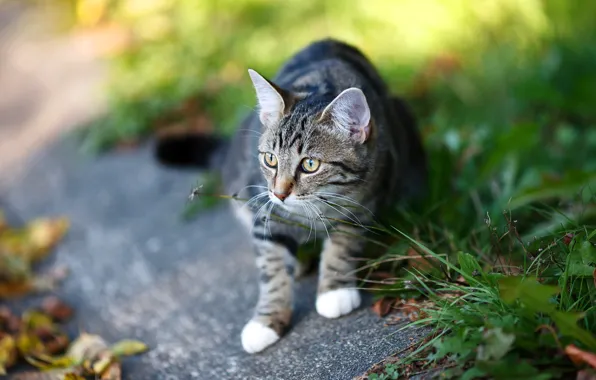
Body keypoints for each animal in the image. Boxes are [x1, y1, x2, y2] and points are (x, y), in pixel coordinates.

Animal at [156, 38, 426, 354]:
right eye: (270, 159)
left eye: (310, 164)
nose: (280, 192)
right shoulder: (265, 211)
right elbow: (271, 267)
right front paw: (267, 319)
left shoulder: (362, 202)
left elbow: (343, 244)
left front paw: (335, 290)